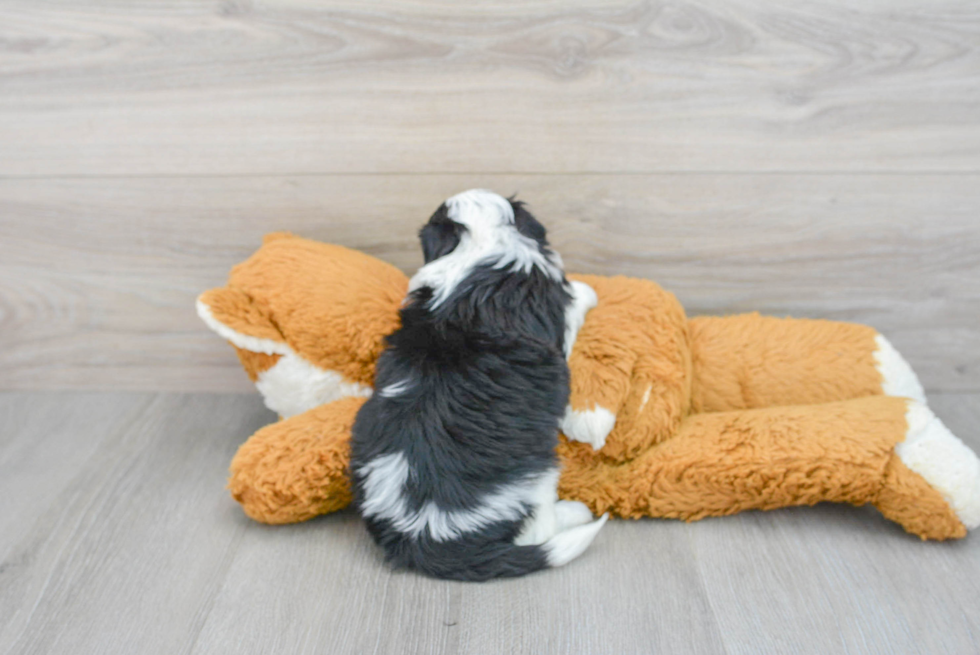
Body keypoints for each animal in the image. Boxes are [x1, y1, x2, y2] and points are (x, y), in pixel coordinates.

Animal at [348, 190, 608, 584]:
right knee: (540, 528)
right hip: (536, 477)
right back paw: (575, 511)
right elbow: (575, 298)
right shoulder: (557, 311)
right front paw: (588, 289)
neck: (480, 246)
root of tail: (422, 533)